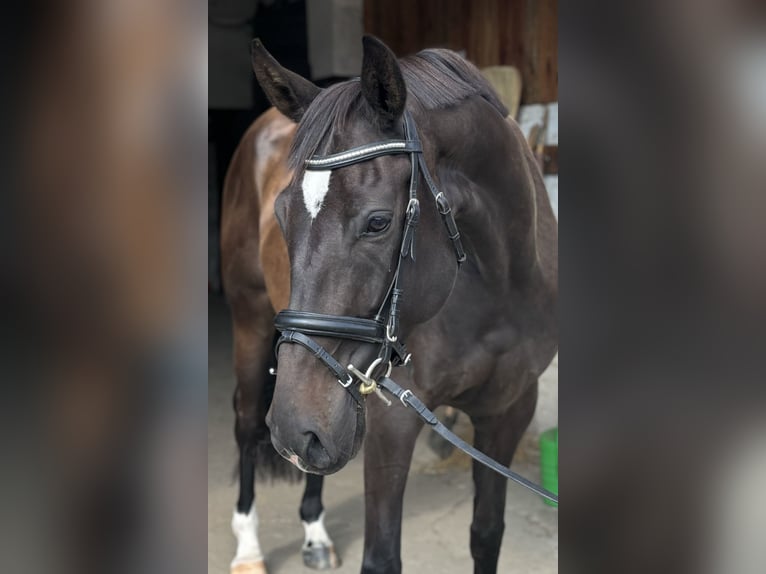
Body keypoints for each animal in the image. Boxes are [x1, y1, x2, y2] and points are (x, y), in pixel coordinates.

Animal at [223, 35, 558, 574]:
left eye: (378, 222)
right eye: (281, 213)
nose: (293, 428)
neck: (496, 292)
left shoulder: (508, 412)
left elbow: (487, 534)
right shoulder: (392, 424)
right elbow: (381, 558)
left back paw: (314, 532)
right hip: (252, 325)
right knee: (248, 422)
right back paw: (248, 548)